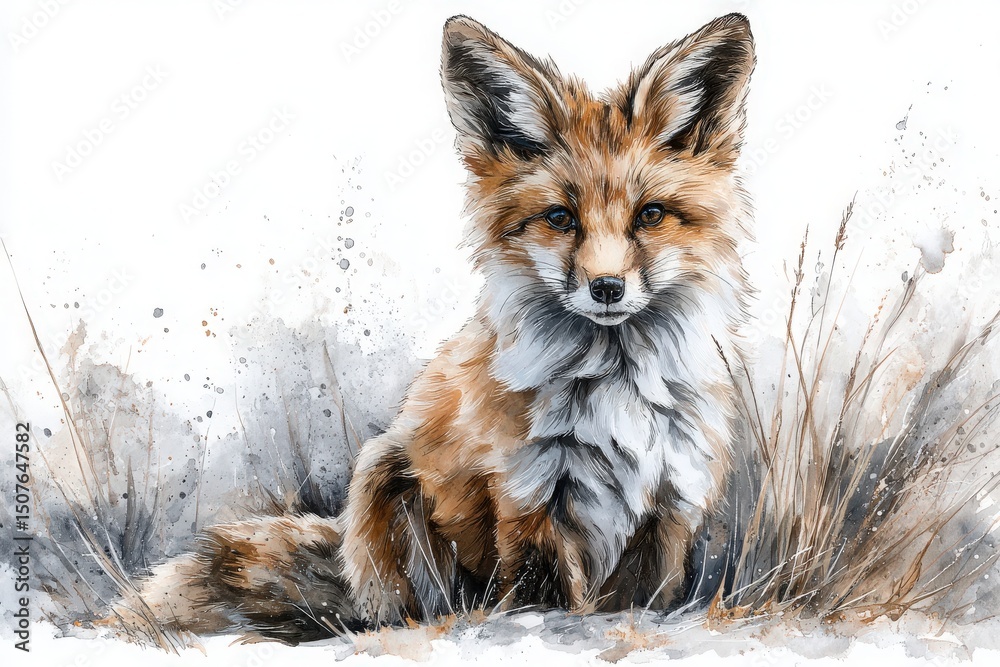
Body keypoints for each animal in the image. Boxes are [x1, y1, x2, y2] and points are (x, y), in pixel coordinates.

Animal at [119, 13, 756, 642]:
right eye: (560, 218)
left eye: (650, 215)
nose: (606, 288)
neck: (615, 389)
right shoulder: (528, 496)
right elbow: (544, 600)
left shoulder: (670, 504)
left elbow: (643, 603)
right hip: (386, 481)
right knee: (411, 609)